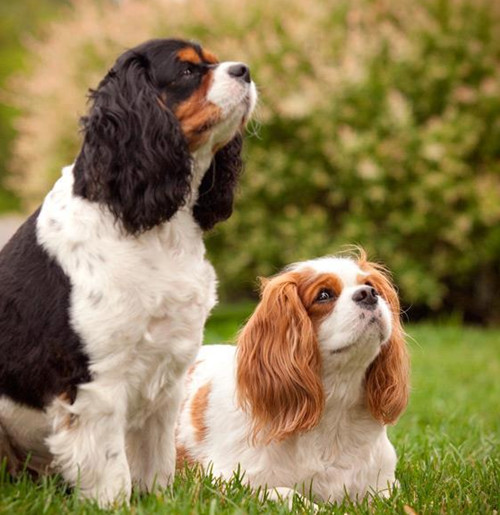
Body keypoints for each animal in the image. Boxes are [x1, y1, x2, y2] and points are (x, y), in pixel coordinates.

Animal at [0, 39, 256, 508]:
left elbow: (156, 461)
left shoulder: (167, 376)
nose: (244, 70)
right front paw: (112, 506)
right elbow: (111, 470)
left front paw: (159, 502)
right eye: (188, 71)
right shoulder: (96, 382)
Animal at [177, 254, 410, 508]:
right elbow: (291, 495)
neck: (335, 409)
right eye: (324, 295)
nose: (368, 294)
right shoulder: (229, 483)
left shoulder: (384, 487)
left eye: (370, 285)